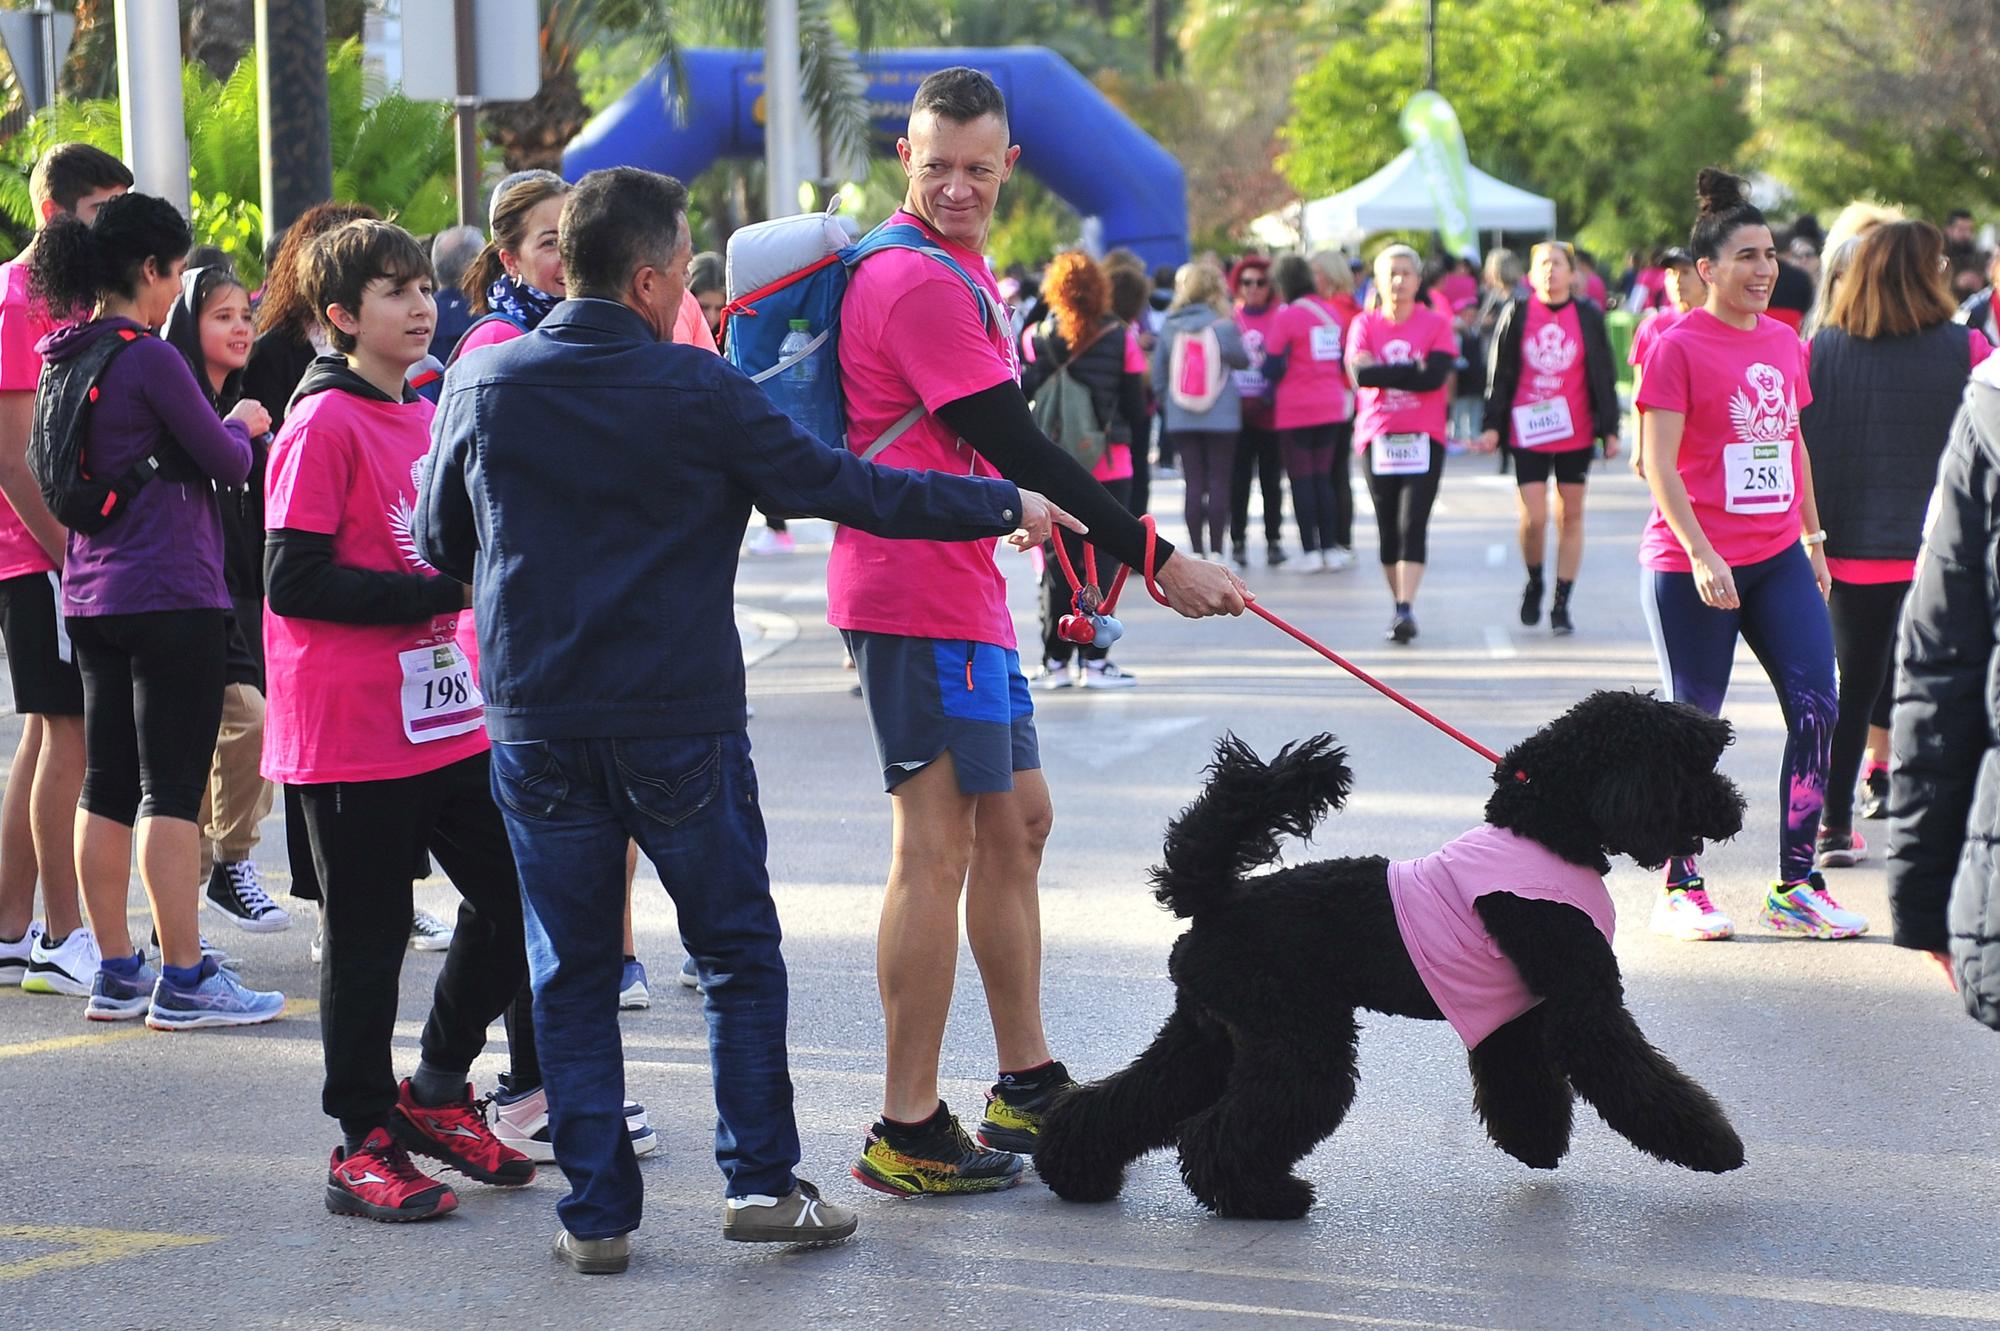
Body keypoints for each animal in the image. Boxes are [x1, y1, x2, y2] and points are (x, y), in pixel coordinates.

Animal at [1032, 687, 1752, 1215]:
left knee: (1128, 1100)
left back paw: (1077, 1171)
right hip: (1299, 1041)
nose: (1736, 809)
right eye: (1691, 767)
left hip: (1211, 1036)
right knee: (1214, 1133)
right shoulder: (1585, 1007)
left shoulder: (1513, 1011)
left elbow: (1524, 1084)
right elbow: (1642, 1080)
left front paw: (1536, 1145)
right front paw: (1714, 1145)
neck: (1545, 830)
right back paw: (1264, 1197)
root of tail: (1215, 900)